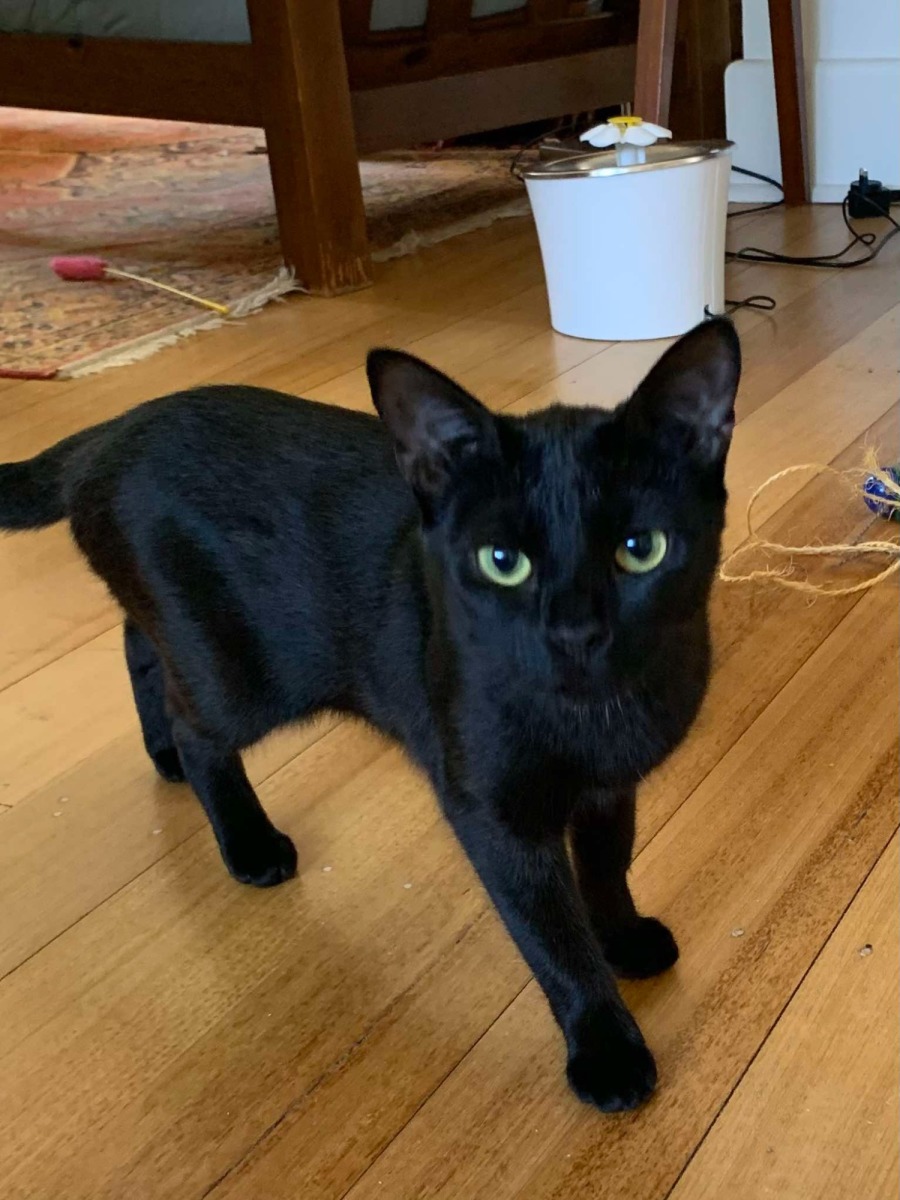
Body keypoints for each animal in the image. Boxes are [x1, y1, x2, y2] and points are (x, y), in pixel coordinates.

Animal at [0, 316, 740, 1112]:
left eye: (641, 549)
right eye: (502, 561)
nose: (574, 632)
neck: (593, 719)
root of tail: (110, 430)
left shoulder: (610, 788)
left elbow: (606, 865)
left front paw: (624, 938)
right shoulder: (490, 813)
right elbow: (550, 933)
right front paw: (605, 1049)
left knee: (140, 641)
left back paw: (161, 754)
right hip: (244, 676)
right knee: (194, 721)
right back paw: (244, 838)